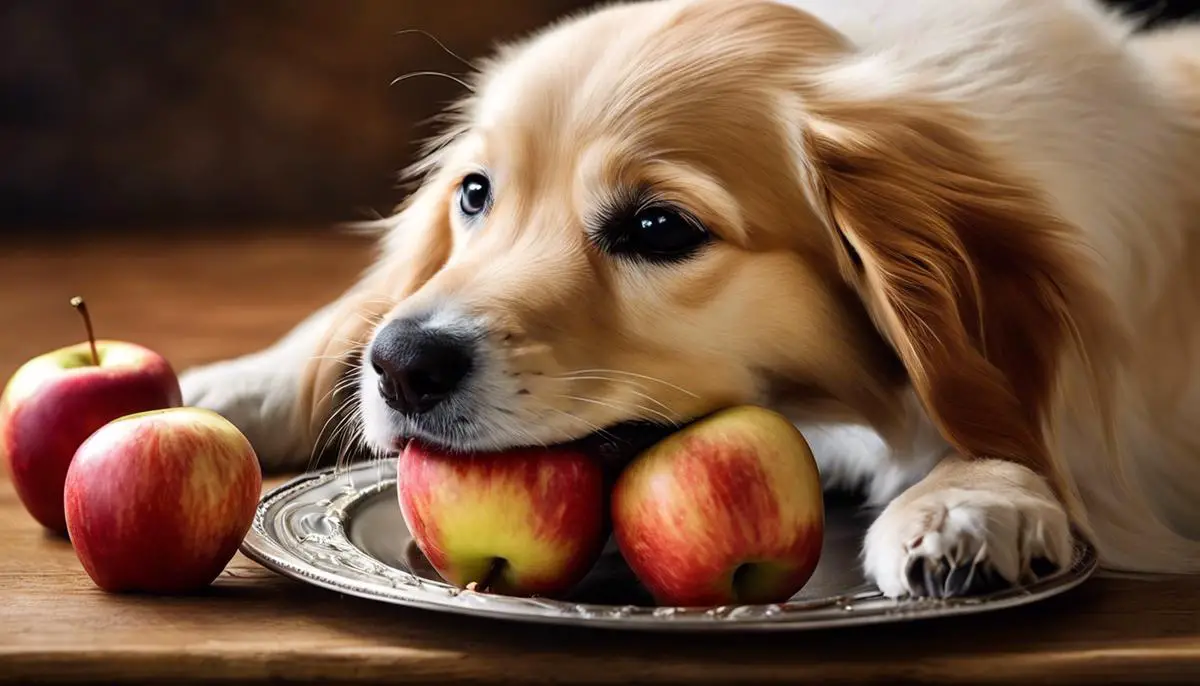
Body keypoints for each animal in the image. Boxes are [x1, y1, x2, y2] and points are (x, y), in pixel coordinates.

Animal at [177, 0, 1200, 597]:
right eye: (475, 193)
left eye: (659, 228)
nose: (404, 366)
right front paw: (235, 385)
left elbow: (1006, 419)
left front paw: (971, 499)